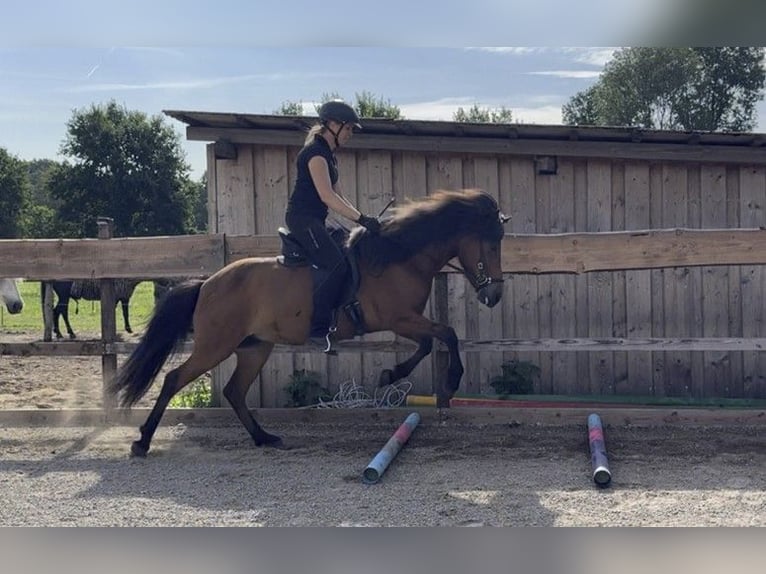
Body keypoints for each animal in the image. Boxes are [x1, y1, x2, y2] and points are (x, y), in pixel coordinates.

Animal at [109, 189, 510, 460]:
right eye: (491, 243)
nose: (494, 296)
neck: (398, 257)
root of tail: (207, 283)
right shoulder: (399, 318)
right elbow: (446, 334)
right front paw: (447, 380)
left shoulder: (405, 321)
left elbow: (432, 341)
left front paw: (391, 375)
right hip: (215, 346)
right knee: (174, 379)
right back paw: (142, 441)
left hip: (255, 347)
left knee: (235, 391)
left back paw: (264, 437)